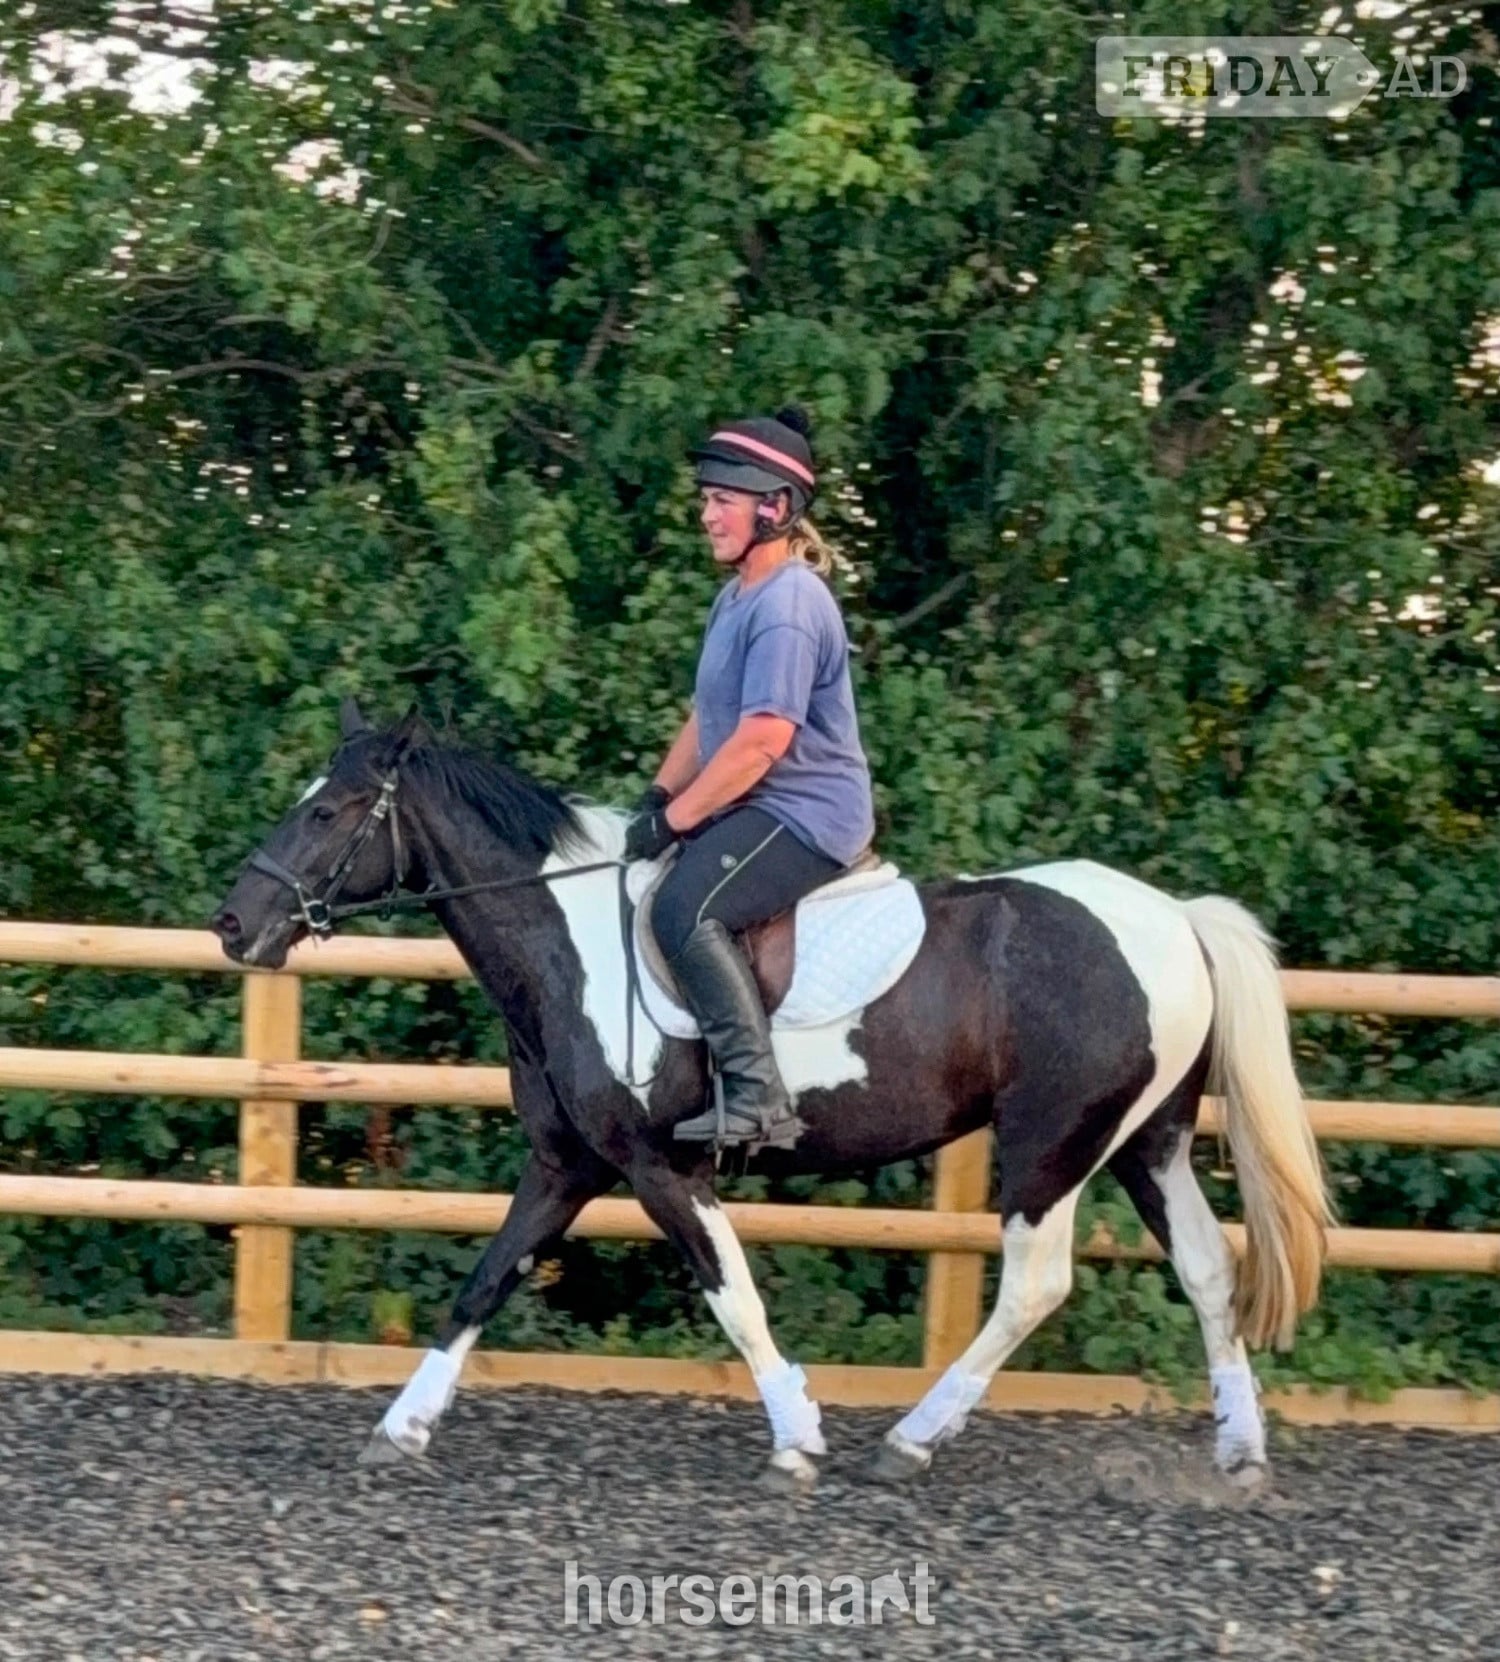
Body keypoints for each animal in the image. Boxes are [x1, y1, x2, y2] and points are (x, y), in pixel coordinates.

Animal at [210, 699, 1331, 1490]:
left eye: (327, 811)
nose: (234, 924)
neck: (568, 939)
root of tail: (1174, 919)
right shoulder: (568, 1164)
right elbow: (484, 1282)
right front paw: (400, 1426)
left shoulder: (660, 1166)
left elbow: (732, 1294)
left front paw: (797, 1435)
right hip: (1148, 1142)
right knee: (1207, 1268)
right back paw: (1240, 1453)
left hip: (1050, 1146)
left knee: (1035, 1286)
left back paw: (911, 1441)